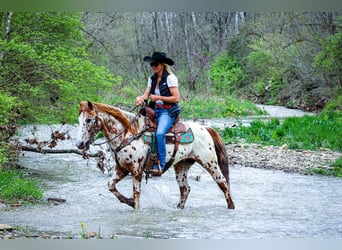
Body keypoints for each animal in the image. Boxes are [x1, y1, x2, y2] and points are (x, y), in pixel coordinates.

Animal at [76, 100, 234, 210]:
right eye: (79, 120)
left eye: (88, 120)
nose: (79, 144)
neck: (128, 134)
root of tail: (206, 128)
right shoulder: (122, 169)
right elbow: (111, 185)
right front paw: (128, 201)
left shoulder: (136, 170)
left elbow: (137, 194)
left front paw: (134, 206)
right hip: (182, 166)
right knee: (185, 189)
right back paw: (179, 208)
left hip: (210, 163)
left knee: (223, 183)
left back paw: (231, 207)